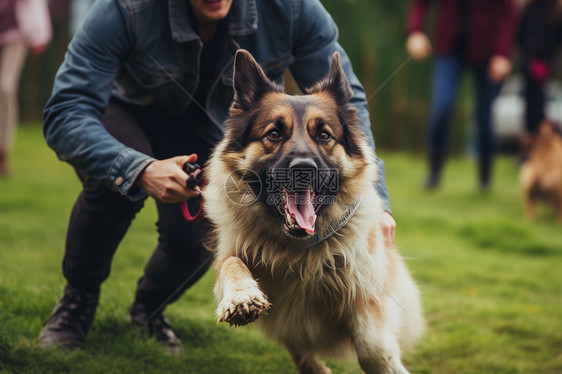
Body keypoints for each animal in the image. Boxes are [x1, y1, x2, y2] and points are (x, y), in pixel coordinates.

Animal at [203, 50, 422, 374]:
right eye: (274, 134)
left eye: (324, 135)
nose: (304, 169)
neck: (297, 250)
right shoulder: (231, 253)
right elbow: (232, 264)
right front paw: (242, 297)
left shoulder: (366, 292)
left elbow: (373, 350)